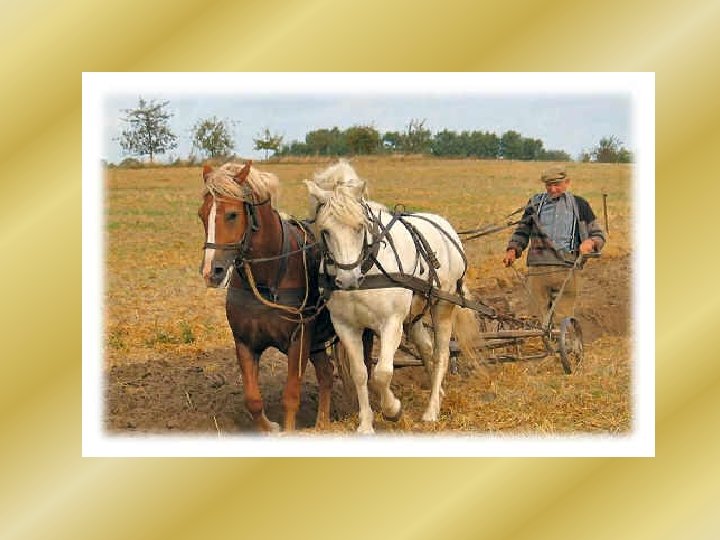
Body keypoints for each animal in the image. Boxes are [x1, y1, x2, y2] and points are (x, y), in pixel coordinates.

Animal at [198, 161, 335, 433]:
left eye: (232, 214)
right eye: (202, 214)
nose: (210, 272)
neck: (267, 279)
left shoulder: (299, 340)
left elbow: (291, 396)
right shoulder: (244, 342)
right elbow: (252, 400)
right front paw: (270, 427)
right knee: (326, 374)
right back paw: (322, 423)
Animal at [305, 170, 482, 434]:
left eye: (360, 227)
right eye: (325, 230)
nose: (348, 279)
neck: (367, 269)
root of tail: (446, 227)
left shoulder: (391, 323)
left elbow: (382, 373)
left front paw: (393, 410)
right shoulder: (345, 326)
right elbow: (361, 373)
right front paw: (365, 424)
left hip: (442, 305)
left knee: (440, 355)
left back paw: (432, 410)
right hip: (413, 315)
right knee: (426, 348)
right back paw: (438, 391)